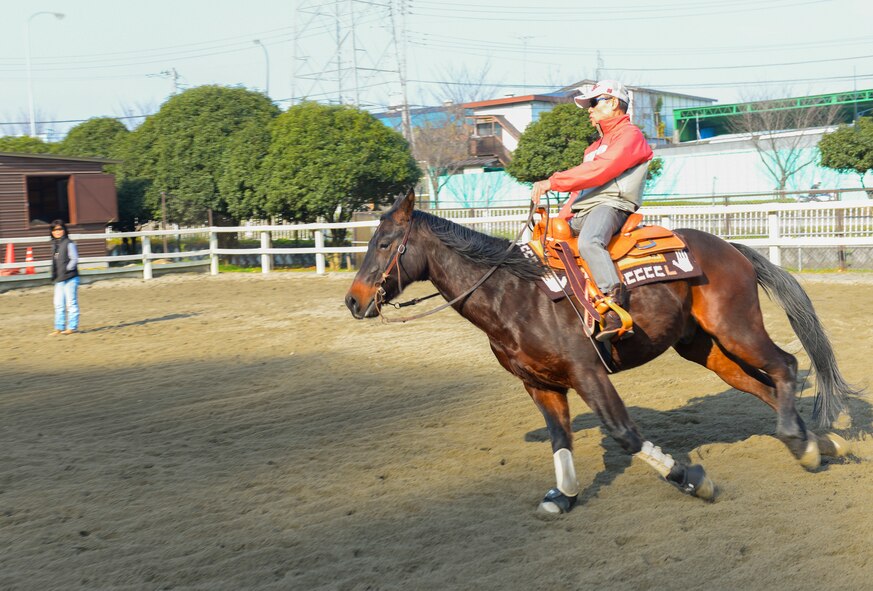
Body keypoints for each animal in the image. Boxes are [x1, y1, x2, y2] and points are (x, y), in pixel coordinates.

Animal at [345, 190, 859, 514]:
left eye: (385, 243)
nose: (353, 300)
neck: (515, 293)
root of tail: (730, 248)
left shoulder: (588, 373)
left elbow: (625, 434)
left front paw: (692, 479)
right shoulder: (540, 385)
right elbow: (560, 440)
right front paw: (563, 496)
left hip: (737, 329)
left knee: (785, 365)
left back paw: (802, 444)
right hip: (704, 349)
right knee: (762, 384)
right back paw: (818, 441)